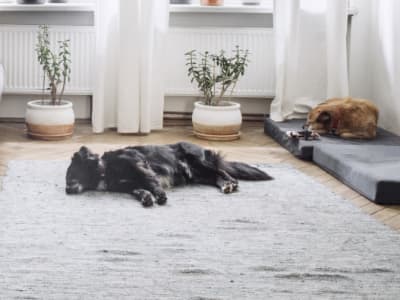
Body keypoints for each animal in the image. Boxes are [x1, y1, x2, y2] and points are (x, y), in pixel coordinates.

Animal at [65, 142, 274, 207]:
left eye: (69, 177)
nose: (66, 191)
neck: (105, 170)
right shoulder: (129, 185)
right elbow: (141, 190)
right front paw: (147, 198)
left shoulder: (139, 165)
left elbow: (151, 183)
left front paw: (160, 196)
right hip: (198, 175)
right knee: (215, 177)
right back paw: (225, 185)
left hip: (198, 161)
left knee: (222, 172)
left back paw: (230, 183)